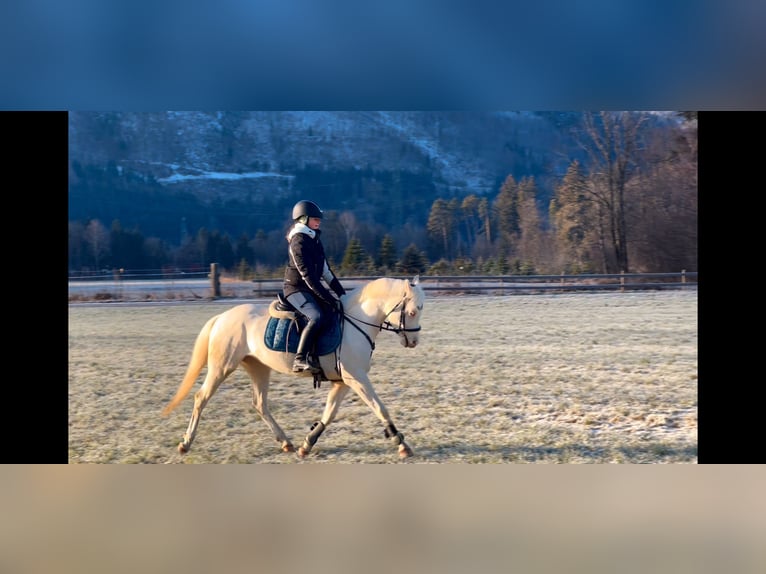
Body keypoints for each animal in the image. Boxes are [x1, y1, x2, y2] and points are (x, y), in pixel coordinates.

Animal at [163, 276, 426, 462]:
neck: (355, 322)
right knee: (201, 397)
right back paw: (185, 443)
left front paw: (306, 445)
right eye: (413, 311)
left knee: (259, 404)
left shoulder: (343, 381)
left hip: (259, 368)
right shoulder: (357, 378)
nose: (413, 341)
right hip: (222, 367)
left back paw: (286, 443)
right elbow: (380, 408)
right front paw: (402, 445)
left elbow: (329, 414)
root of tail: (222, 317)